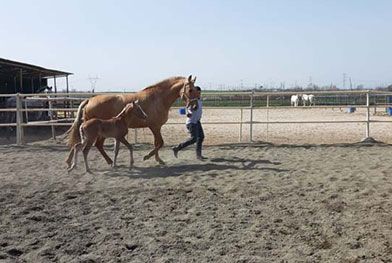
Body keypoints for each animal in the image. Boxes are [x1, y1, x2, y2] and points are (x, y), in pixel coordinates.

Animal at [66, 76, 199, 167]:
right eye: (190, 90)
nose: (195, 106)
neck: (158, 98)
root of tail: (90, 100)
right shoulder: (154, 127)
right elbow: (160, 143)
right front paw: (147, 157)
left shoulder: (156, 127)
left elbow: (157, 143)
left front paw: (158, 160)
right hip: (95, 133)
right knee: (94, 145)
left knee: (90, 145)